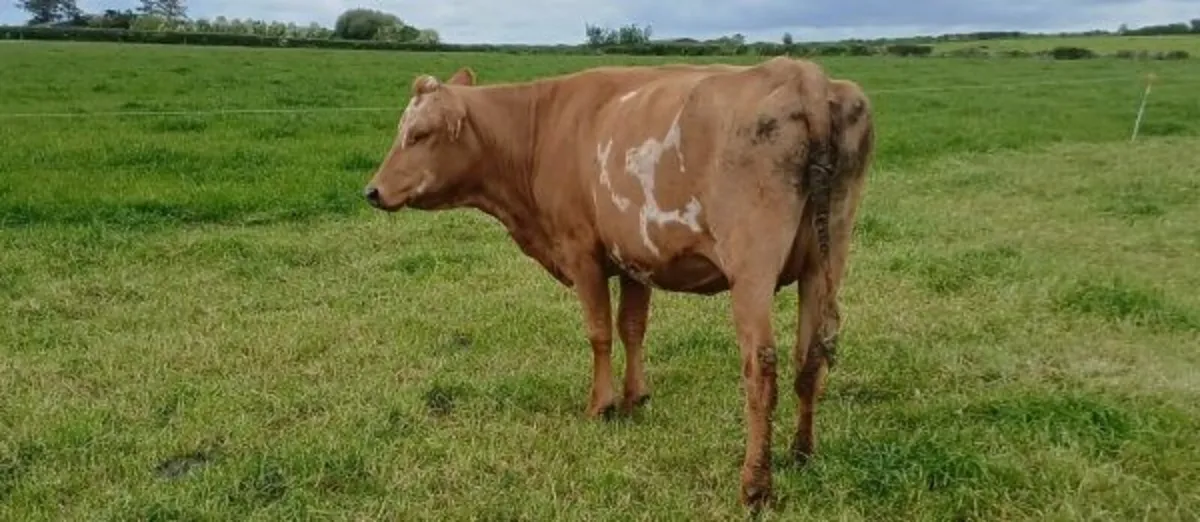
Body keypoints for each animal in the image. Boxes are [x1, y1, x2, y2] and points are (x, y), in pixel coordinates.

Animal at [362, 56, 874, 509]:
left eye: (419, 134)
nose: (372, 191)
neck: (541, 129)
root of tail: (802, 74)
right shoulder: (635, 257)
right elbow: (632, 327)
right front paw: (634, 398)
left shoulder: (581, 251)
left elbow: (600, 332)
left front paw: (602, 405)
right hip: (825, 260)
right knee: (810, 356)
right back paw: (801, 454)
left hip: (752, 269)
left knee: (761, 367)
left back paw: (755, 487)